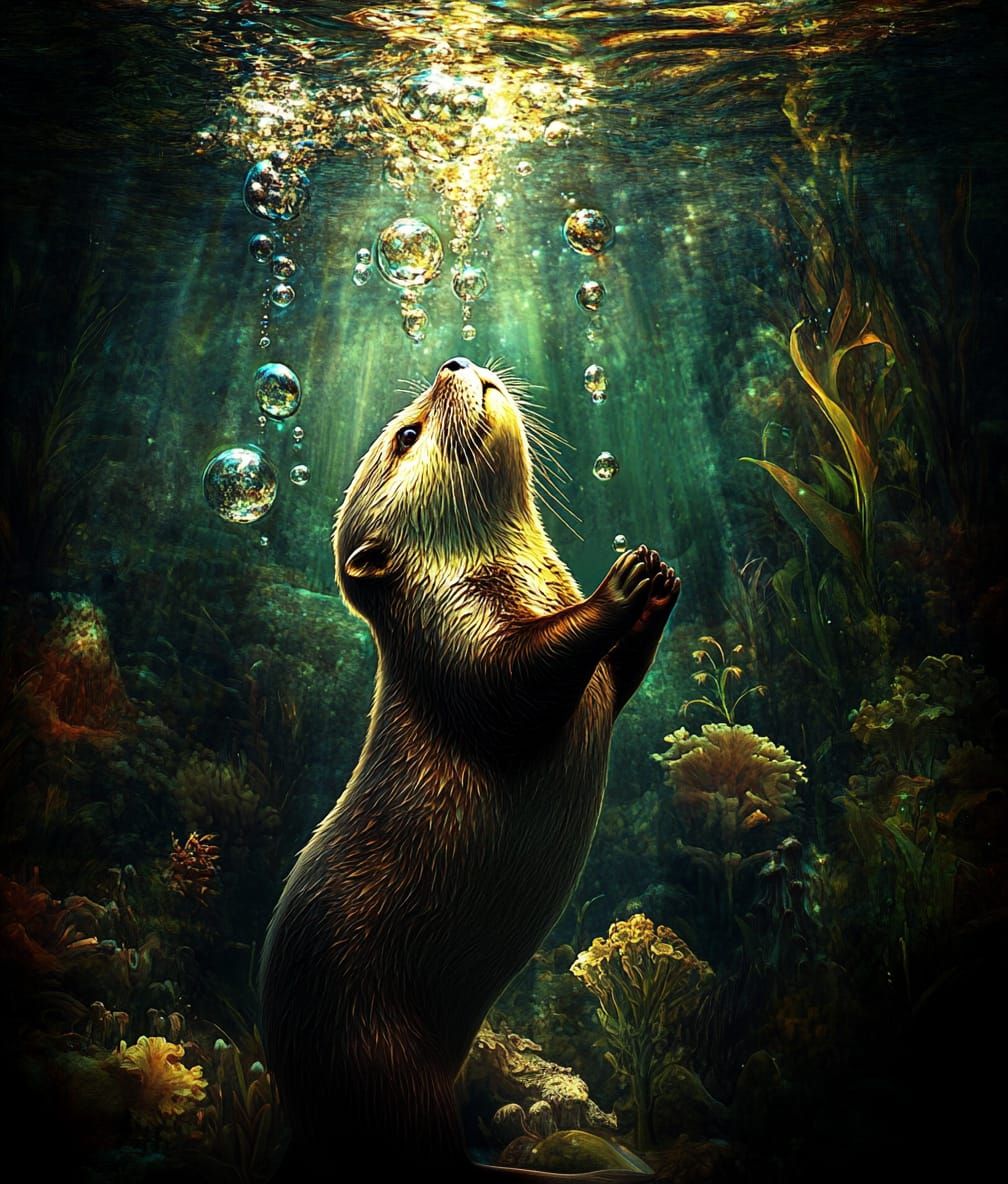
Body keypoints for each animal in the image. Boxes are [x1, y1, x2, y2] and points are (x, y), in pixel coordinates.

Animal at [260, 357, 680, 1181]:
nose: (452, 362)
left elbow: (616, 679)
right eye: (406, 437)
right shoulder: (455, 642)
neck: (515, 580)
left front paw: (655, 580)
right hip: (377, 1061)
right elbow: (515, 679)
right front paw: (617, 585)